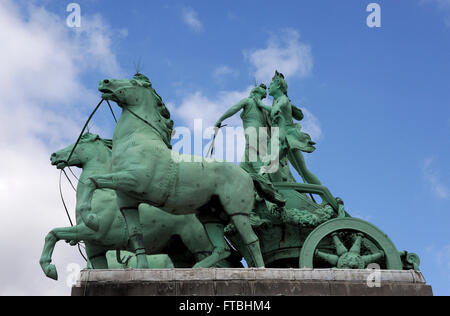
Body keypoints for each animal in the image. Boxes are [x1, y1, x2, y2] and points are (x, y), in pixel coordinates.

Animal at [78, 73, 266, 268]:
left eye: (133, 82)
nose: (104, 82)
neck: (138, 139)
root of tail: (247, 175)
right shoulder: (127, 201)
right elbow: (136, 235)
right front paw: (141, 267)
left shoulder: (133, 180)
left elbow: (92, 181)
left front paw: (90, 219)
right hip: (210, 216)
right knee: (222, 249)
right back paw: (197, 268)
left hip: (237, 212)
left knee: (252, 240)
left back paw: (260, 269)